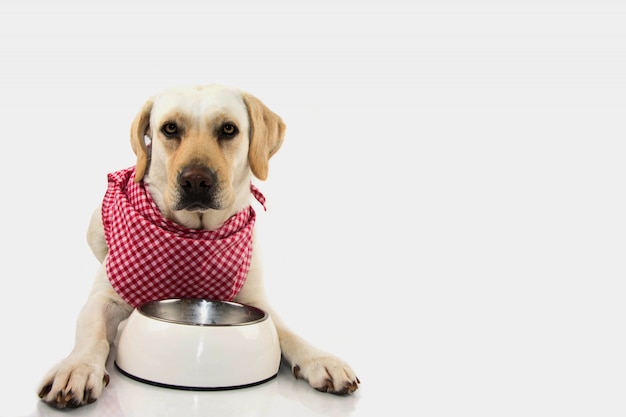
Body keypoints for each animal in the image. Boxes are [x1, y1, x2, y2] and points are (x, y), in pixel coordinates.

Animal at [39, 83, 358, 406]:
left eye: (229, 129)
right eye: (170, 128)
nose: (195, 181)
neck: (197, 235)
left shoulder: (256, 300)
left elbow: (288, 333)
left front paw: (320, 359)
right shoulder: (103, 298)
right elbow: (92, 334)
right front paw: (77, 368)